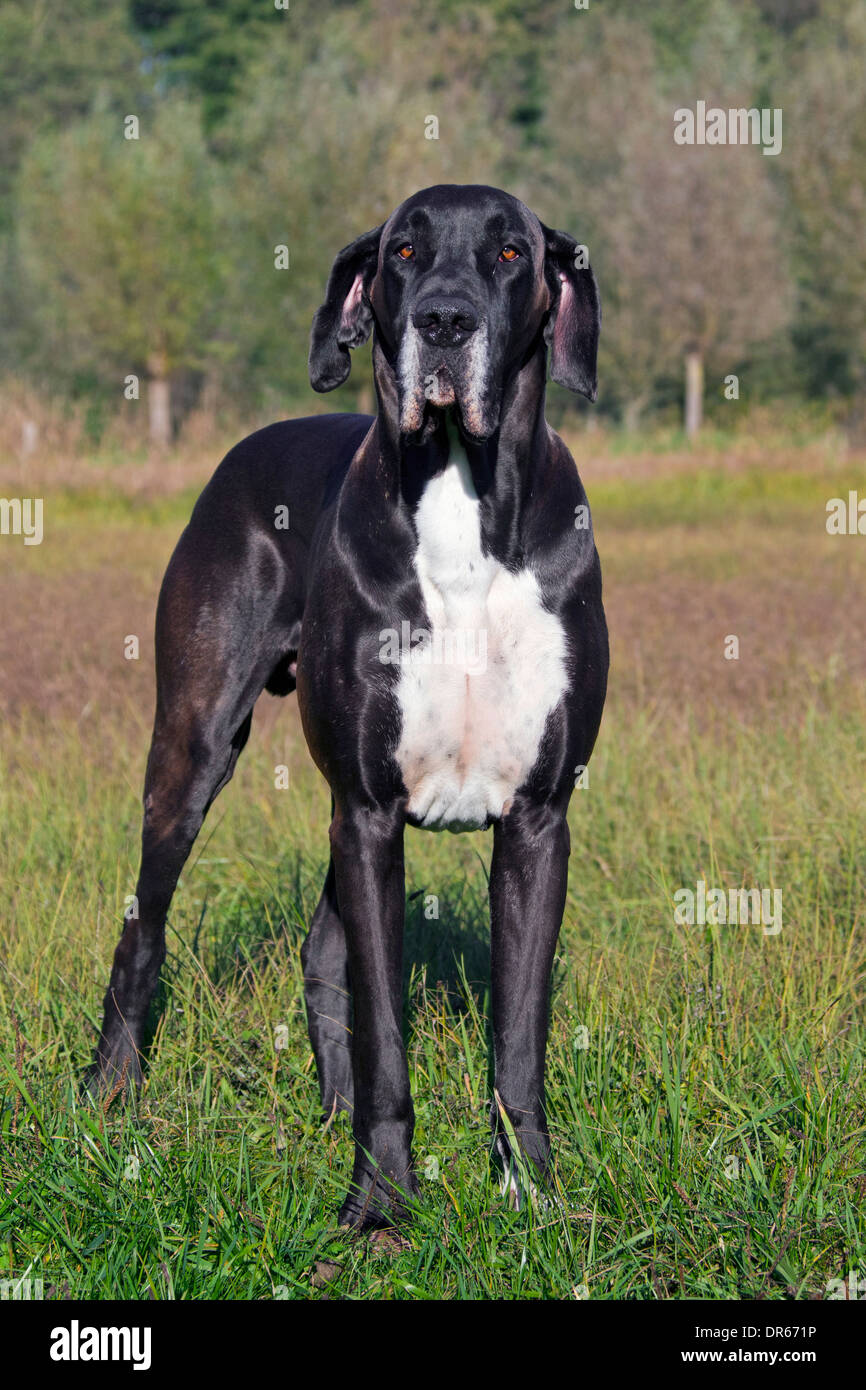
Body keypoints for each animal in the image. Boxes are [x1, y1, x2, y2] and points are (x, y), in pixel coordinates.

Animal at [89, 182, 608, 1228]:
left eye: (509, 253)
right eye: (404, 249)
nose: (443, 320)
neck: (460, 495)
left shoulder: (537, 818)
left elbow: (518, 1034)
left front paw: (531, 1195)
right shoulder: (369, 812)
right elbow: (386, 1037)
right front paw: (379, 1209)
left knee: (319, 952)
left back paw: (327, 1112)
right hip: (195, 748)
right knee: (143, 929)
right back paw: (108, 1091)